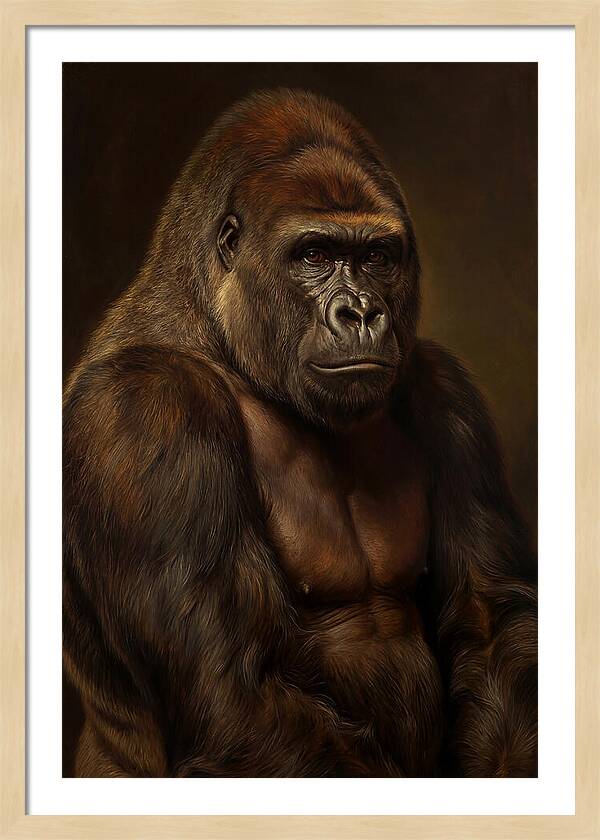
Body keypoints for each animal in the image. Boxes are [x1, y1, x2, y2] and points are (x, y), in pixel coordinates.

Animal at [63, 88, 537, 777]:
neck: (222, 337)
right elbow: (231, 691)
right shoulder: (146, 409)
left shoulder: (446, 391)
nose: (361, 313)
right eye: (313, 255)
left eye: (376, 257)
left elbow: (490, 621)